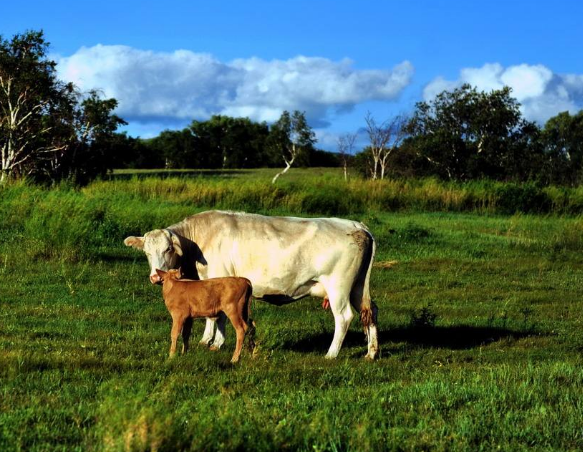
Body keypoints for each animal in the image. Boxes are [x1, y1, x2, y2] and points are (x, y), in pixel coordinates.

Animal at [124, 209, 378, 360]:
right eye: (146, 252)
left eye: (168, 249)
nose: (155, 277)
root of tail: (356, 225)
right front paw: (210, 340)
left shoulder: (218, 278)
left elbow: (217, 316)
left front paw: (213, 342)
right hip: (357, 286)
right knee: (371, 311)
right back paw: (371, 352)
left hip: (338, 287)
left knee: (343, 317)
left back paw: (331, 354)